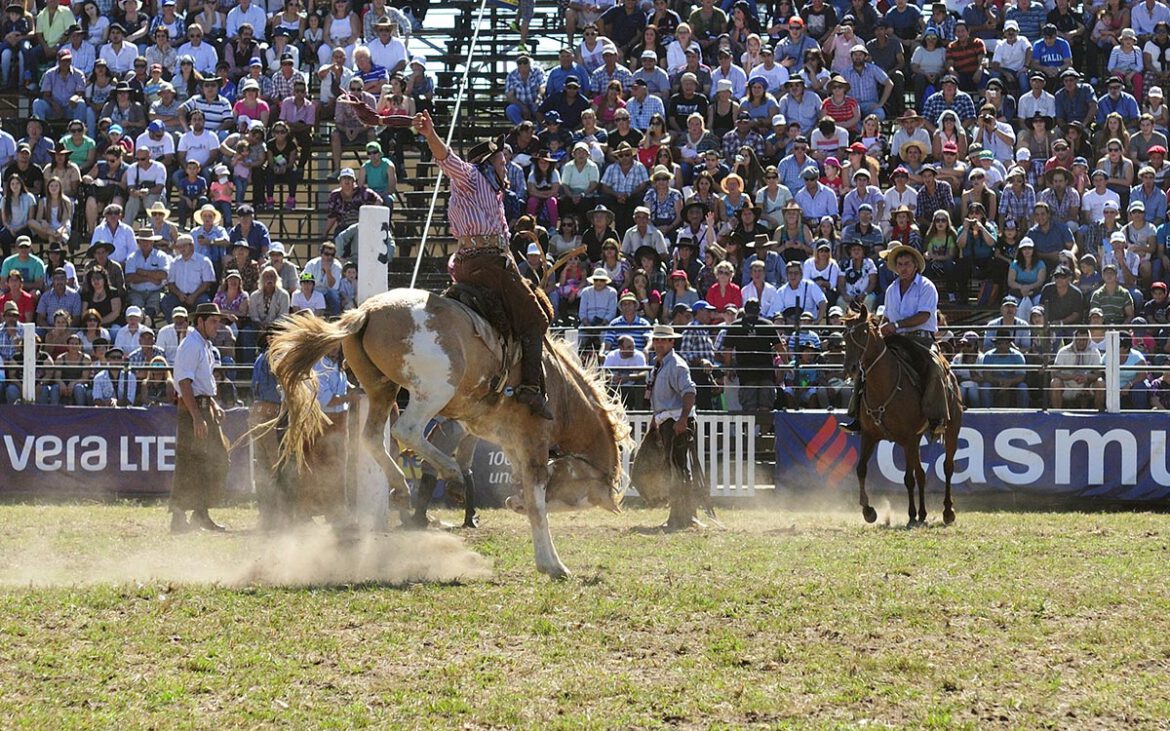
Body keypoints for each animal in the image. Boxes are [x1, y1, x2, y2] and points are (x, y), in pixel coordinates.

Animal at [267, 287, 631, 577]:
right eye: (576, 497)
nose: (511, 504)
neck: (559, 389)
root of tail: (366, 313)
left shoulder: (510, 441)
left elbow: (528, 492)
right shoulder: (534, 439)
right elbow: (538, 503)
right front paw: (552, 564)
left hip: (382, 389)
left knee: (372, 437)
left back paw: (403, 487)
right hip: (433, 391)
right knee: (408, 430)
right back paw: (450, 472)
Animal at [842, 304, 959, 526]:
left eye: (863, 333)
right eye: (845, 335)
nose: (851, 368)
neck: (884, 385)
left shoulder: (908, 437)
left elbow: (908, 478)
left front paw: (911, 515)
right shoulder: (870, 436)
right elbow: (861, 469)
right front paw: (868, 511)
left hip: (950, 430)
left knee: (947, 467)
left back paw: (946, 512)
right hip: (915, 440)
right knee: (921, 474)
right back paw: (922, 514)